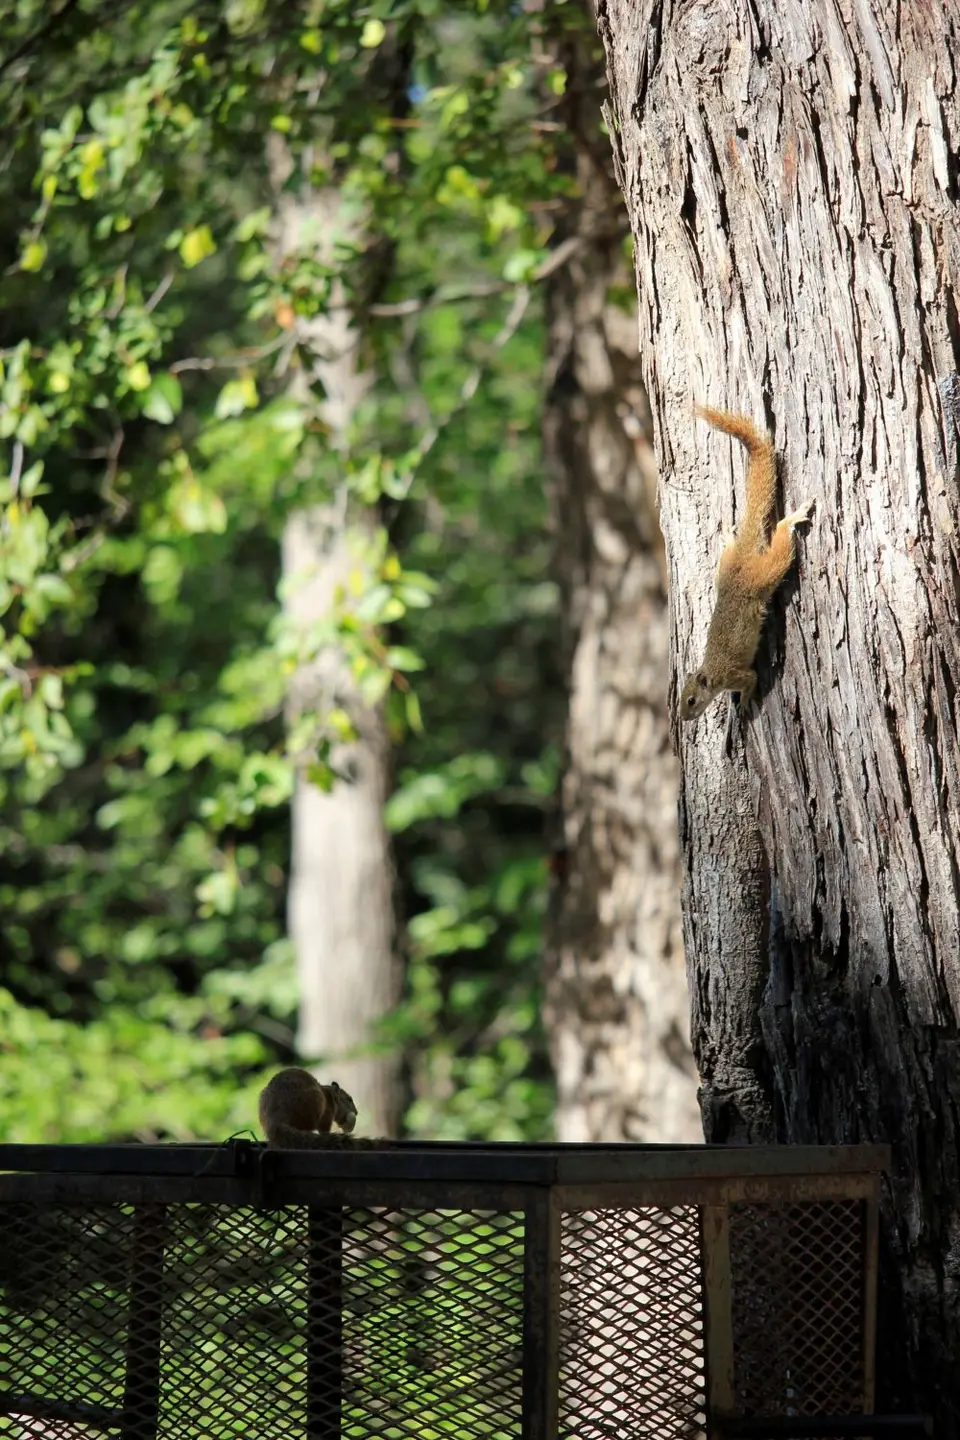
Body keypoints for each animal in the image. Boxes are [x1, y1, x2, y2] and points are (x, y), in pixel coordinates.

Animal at [258, 1067, 390, 1149]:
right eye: (349, 1099)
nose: (356, 1113)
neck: (330, 1095)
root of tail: (275, 1120)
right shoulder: (327, 1115)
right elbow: (324, 1130)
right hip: (314, 1105)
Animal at [678, 405, 814, 722]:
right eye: (680, 699)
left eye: (691, 700)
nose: (683, 717)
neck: (713, 673)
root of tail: (742, 559)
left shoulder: (736, 674)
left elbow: (750, 680)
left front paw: (744, 702)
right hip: (727, 568)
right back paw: (730, 538)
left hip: (763, 576)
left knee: (781, 543)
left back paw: (792, 520)